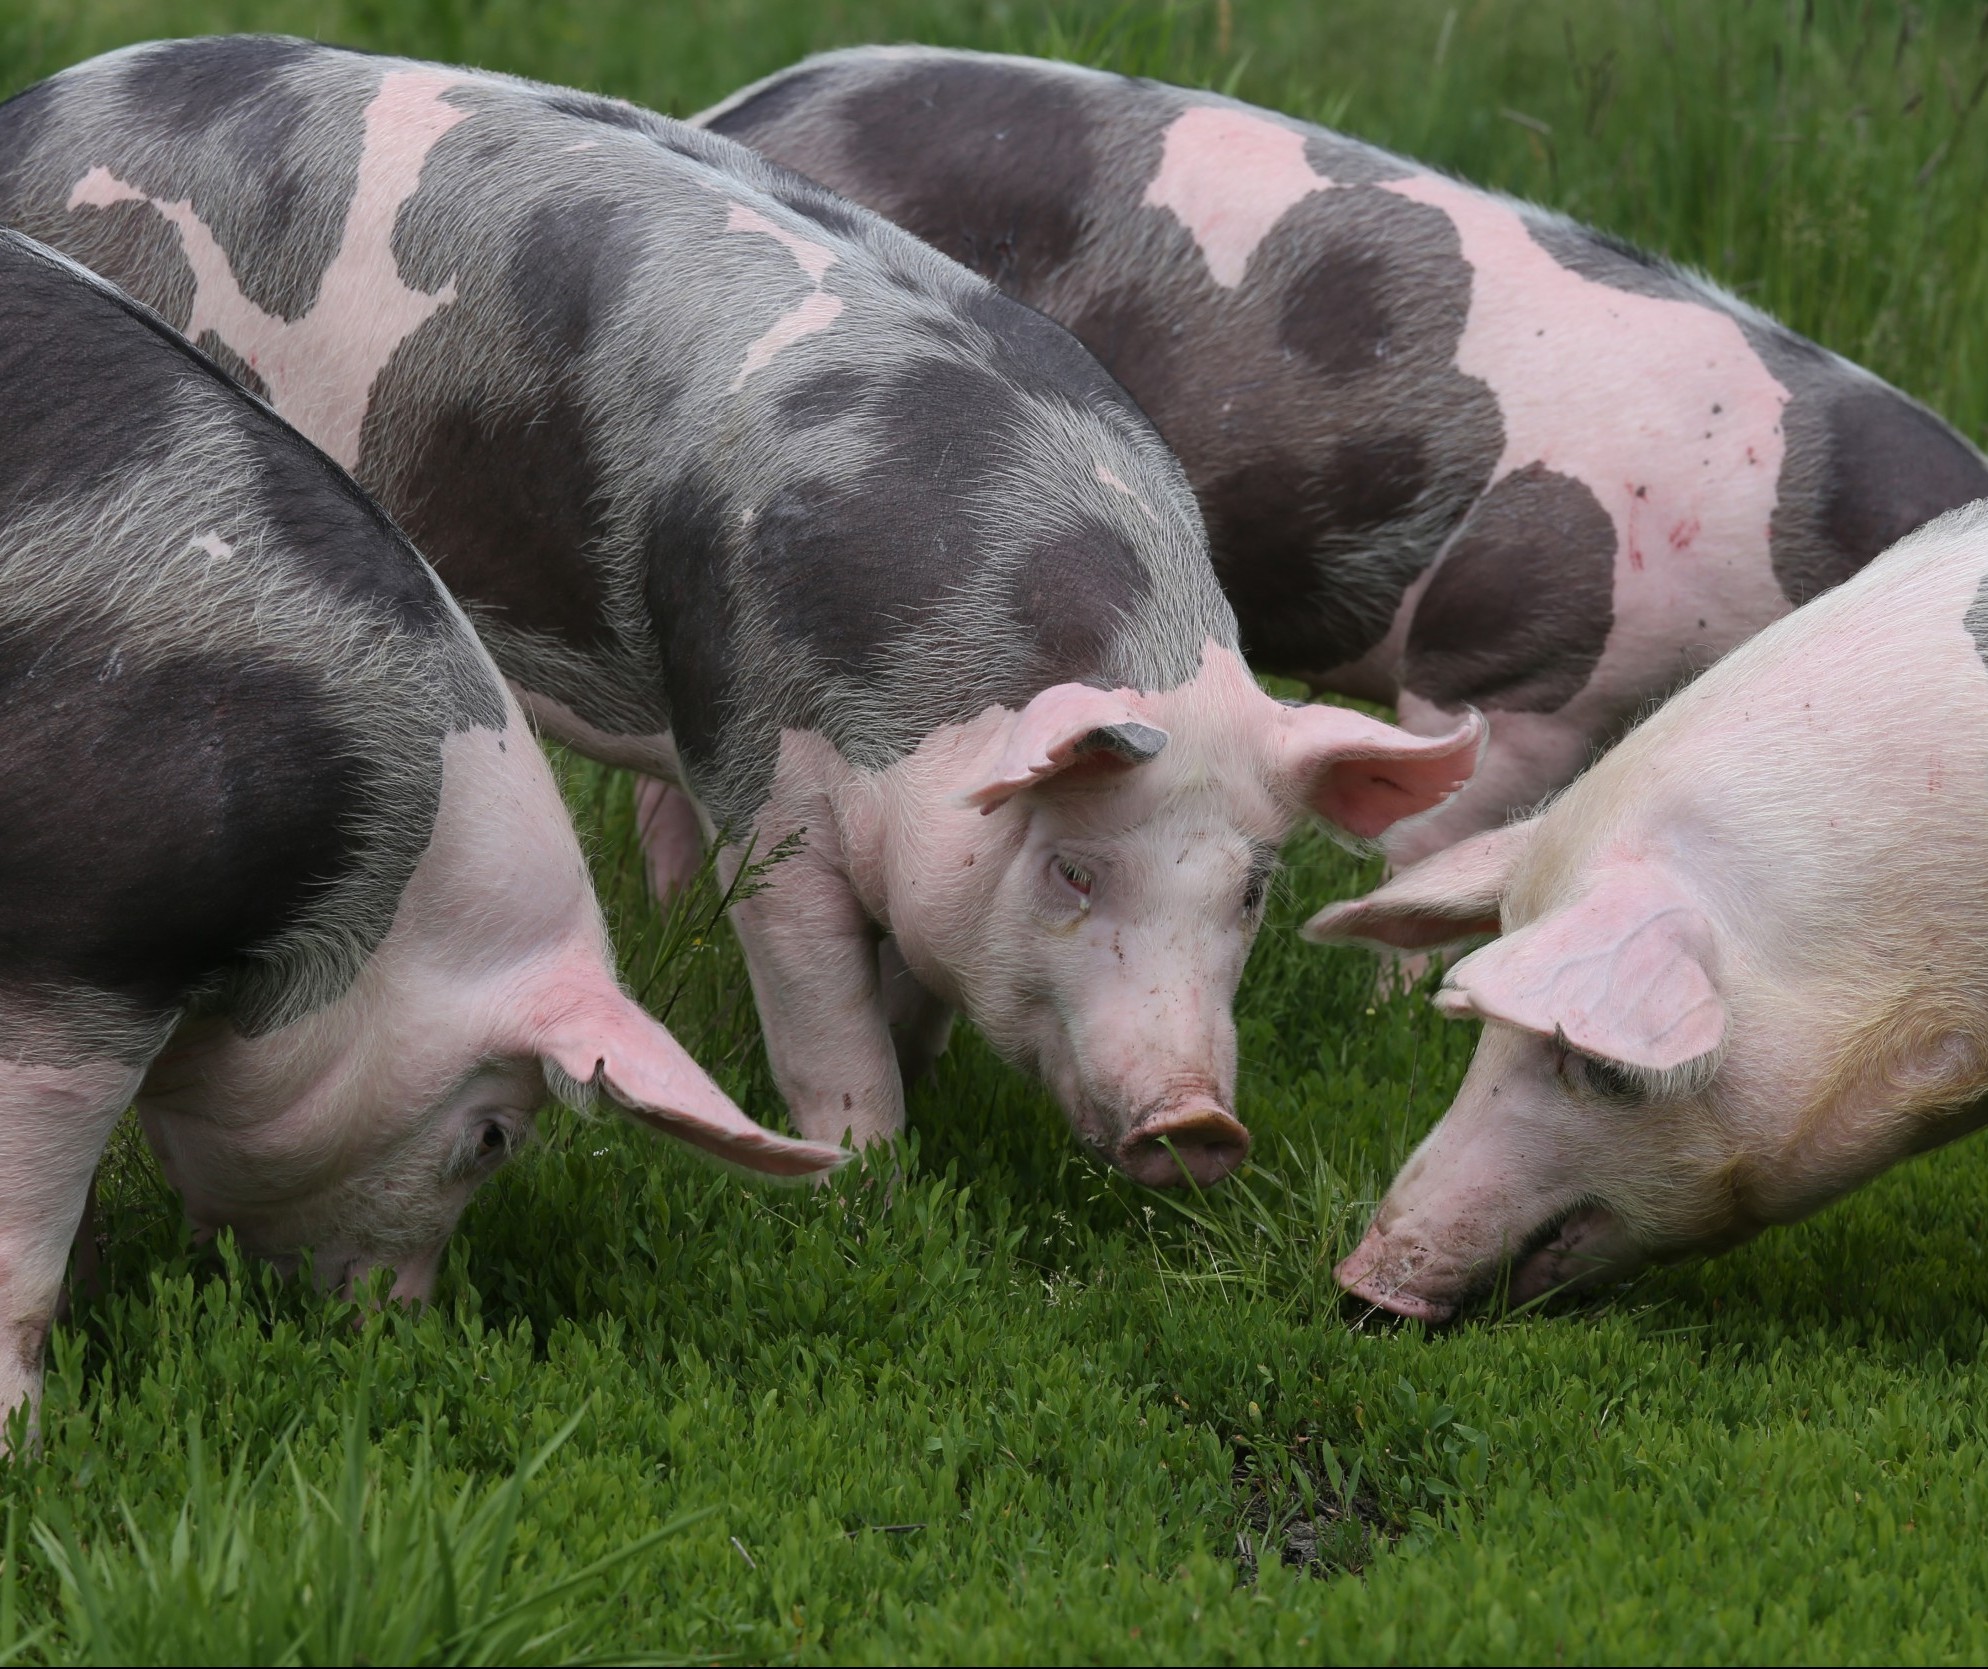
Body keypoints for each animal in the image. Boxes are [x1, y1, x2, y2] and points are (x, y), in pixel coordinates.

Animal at [0, 35, 1494, 1184]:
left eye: (1251, 888)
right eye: (1076, 870)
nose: (1197, 1128)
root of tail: (49, 104)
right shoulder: (760, 768)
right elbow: (817, 1002)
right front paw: (868, 1174)